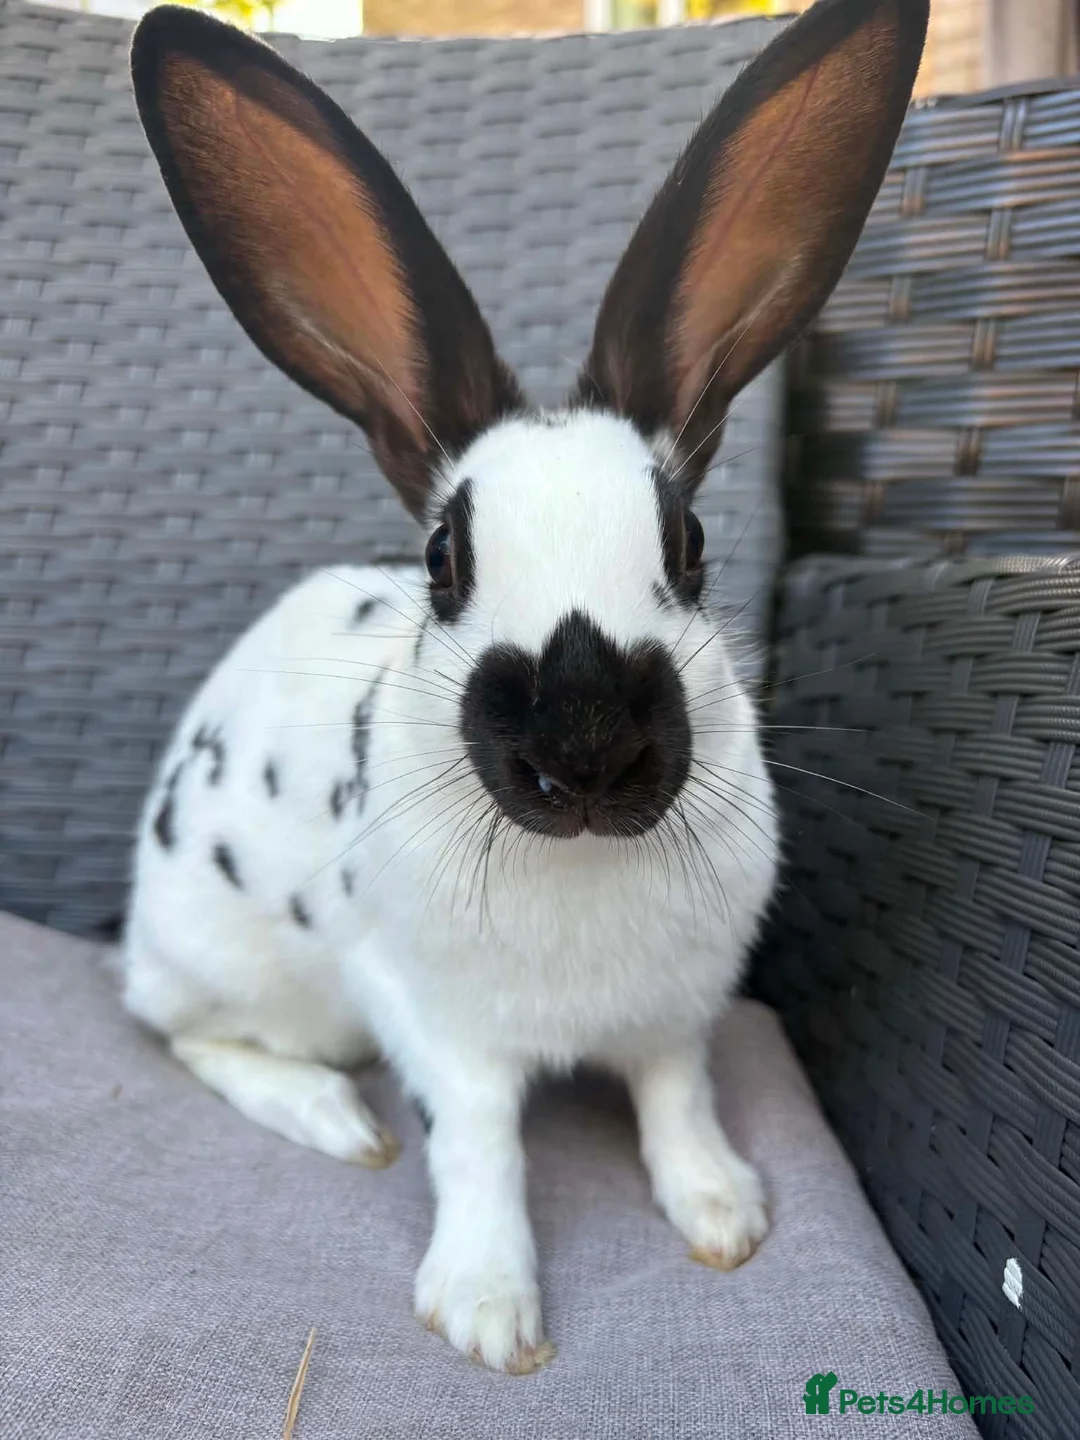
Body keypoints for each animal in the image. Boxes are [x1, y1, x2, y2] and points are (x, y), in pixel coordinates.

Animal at [122, 0, 928, 1375]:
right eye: (444, 561)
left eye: (689, 543)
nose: (587, 754)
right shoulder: (440, 1026)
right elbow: (479, 1150)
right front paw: (490, 1313)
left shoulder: (678, 1014)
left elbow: (678, 1101)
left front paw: (725, 1213)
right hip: (222, 961)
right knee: (189, 1036)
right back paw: (334, 1118)